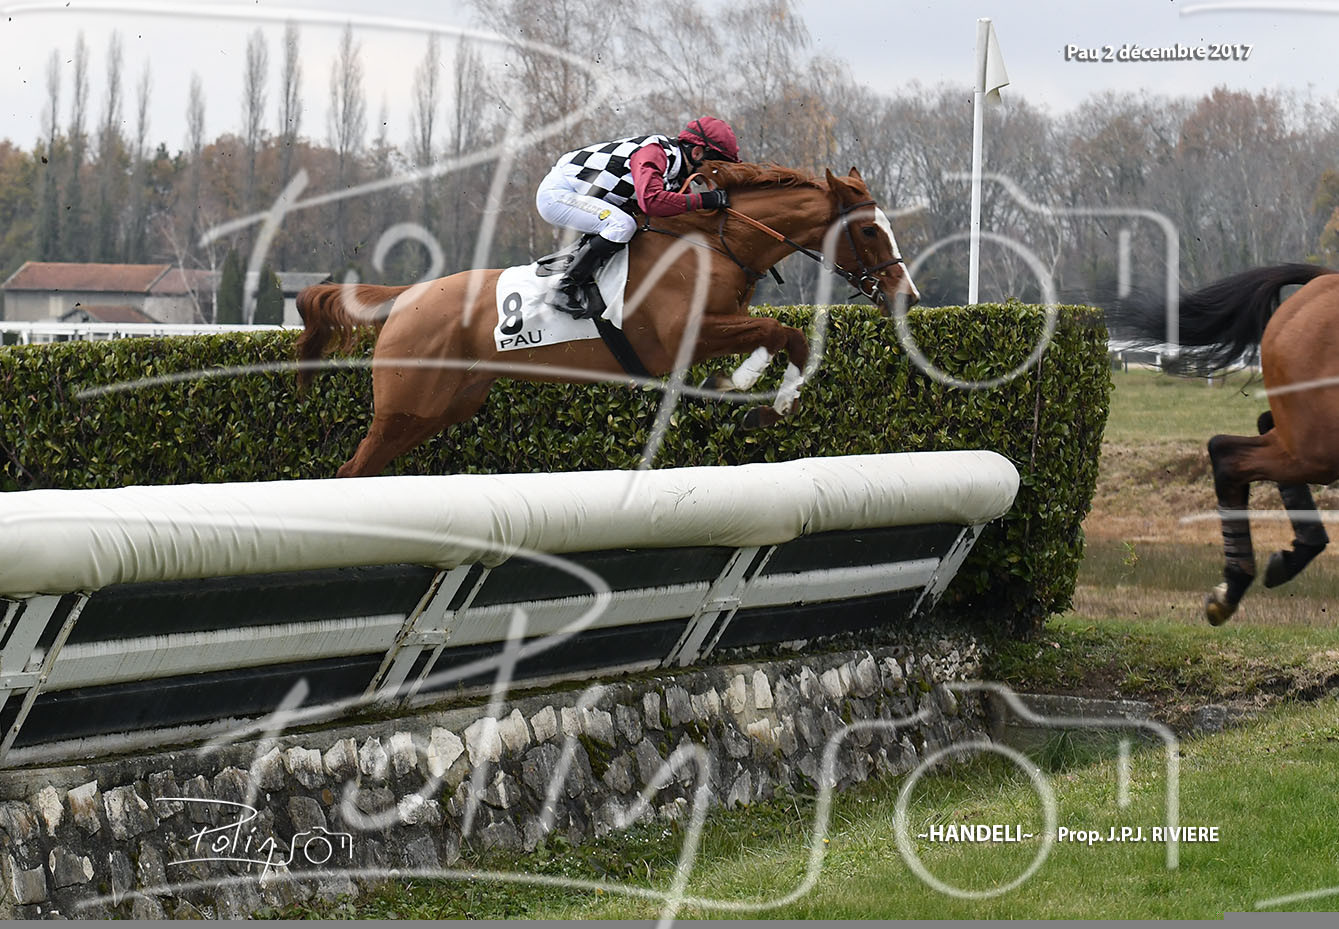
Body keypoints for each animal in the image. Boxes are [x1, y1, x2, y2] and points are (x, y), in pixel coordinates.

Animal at [294, 162, 920, 478]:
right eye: (869, 230)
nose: (907, 295)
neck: (711, 244)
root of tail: (408, 298)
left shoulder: (718, 324)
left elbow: (784, 338)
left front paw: (762, 400)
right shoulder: (682, 338)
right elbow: (780, 332)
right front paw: (748, 387)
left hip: (443, 406)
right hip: (405, 406)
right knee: (350, 473)